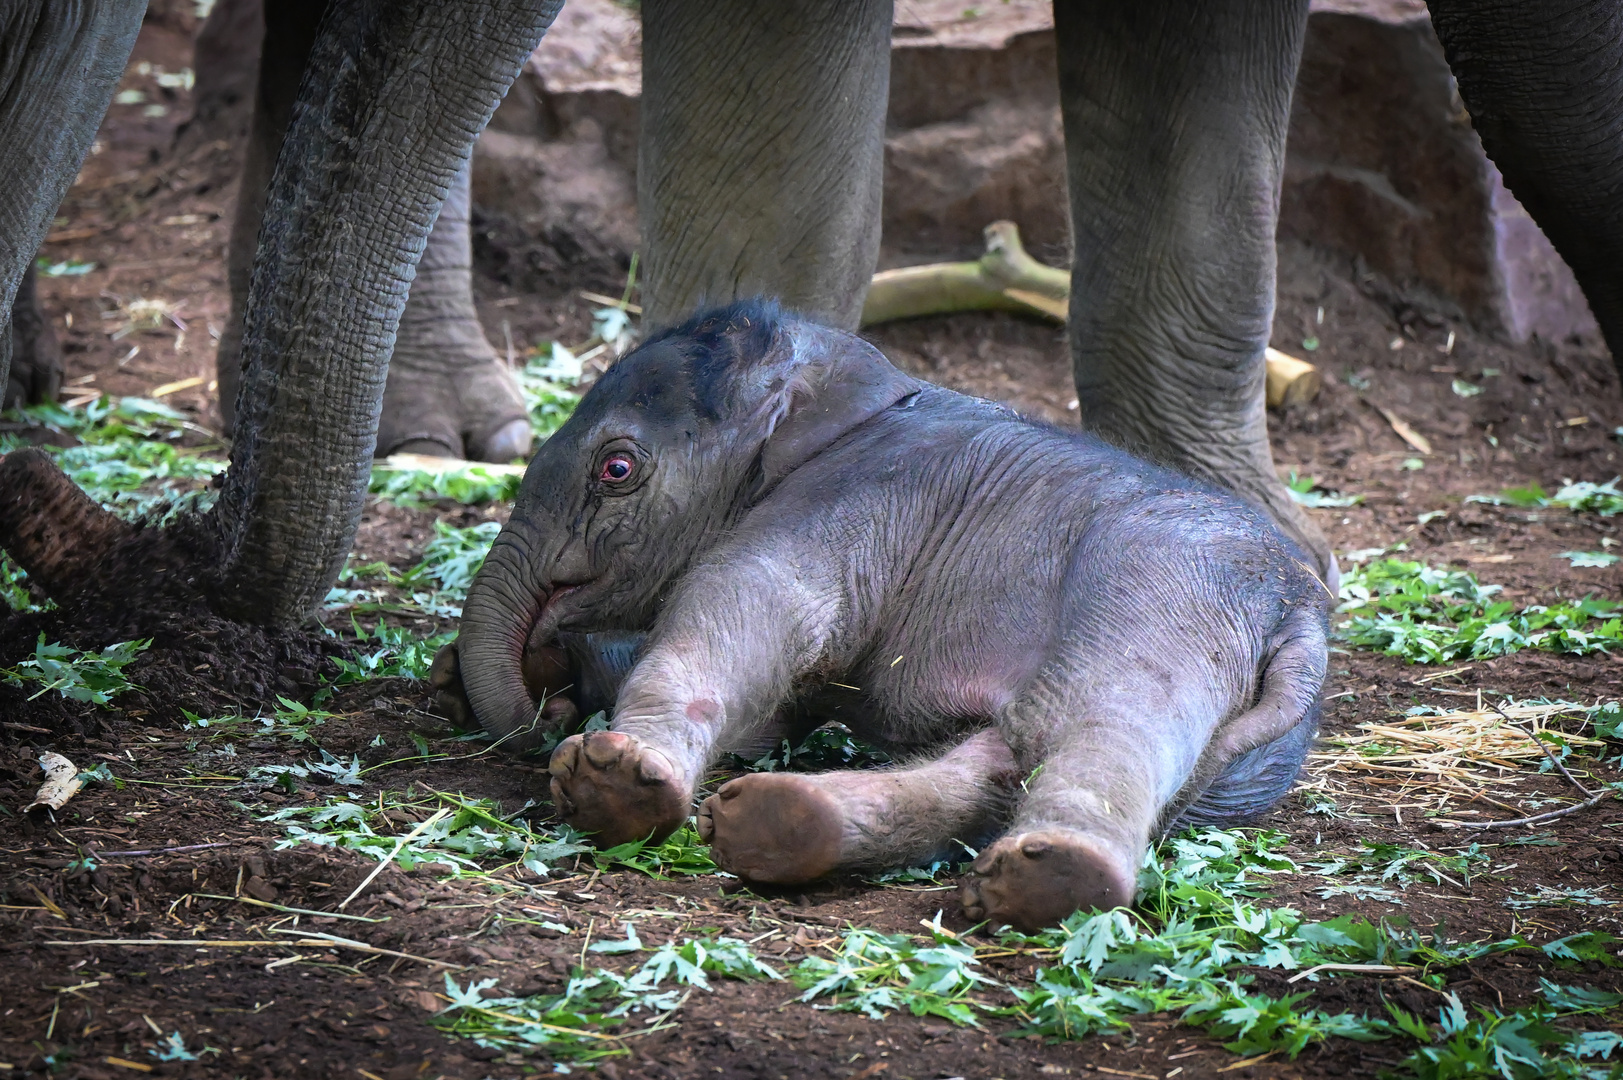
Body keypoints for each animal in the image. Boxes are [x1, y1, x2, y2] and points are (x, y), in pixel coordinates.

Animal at [438, 298, 1324, 928]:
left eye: (615, 469)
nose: (541, 710)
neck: (854, 383)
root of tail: (1301, 623)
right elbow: (770, 713)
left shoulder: (851, 502)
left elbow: (739, 600)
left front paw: (615, 771)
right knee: (993, 765)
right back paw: (780, 826)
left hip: (1158, 602)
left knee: (1090, 727)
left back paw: (1057, 877)